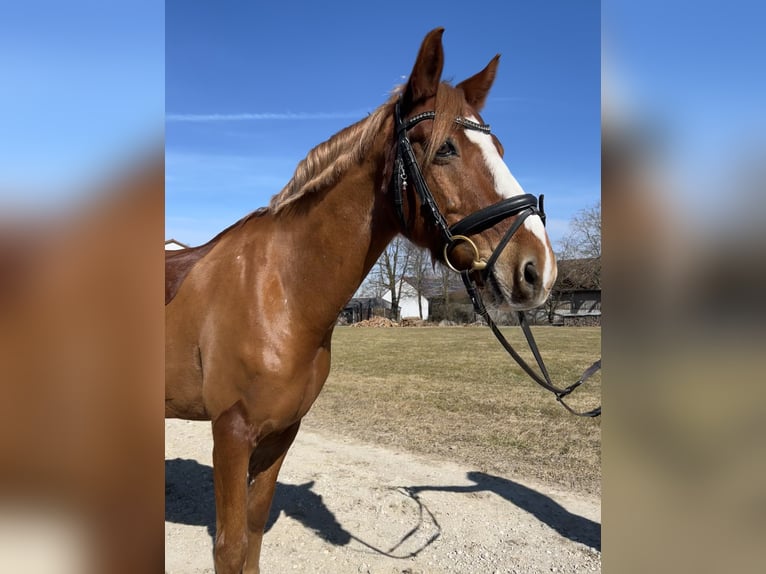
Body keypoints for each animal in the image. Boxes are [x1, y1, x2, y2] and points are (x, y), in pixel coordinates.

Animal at [165, 29, 560, 572]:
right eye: (445, 149)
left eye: (499, 147)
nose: (537, 269)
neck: (276, 292)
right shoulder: (231, 434)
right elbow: (230, 547)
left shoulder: (280, 433)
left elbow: (254, 530)